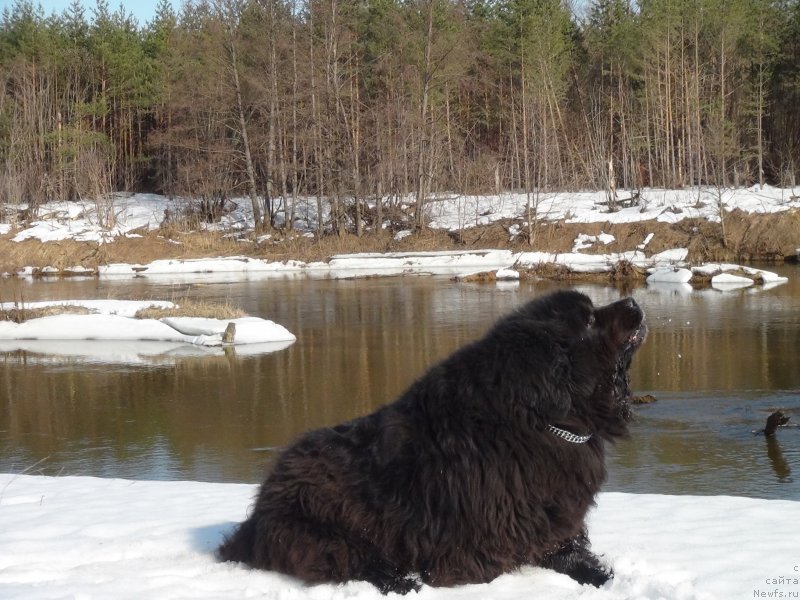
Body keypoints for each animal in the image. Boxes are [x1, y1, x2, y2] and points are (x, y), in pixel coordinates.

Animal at [219, 292, 644, 596]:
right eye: (589, 319)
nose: (634, 303)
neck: (538, 415)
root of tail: (258, 510)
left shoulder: (554, 516)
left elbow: (568, 551)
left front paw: (598, 574)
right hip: (322, 528)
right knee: (347, 559)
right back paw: (400, 580)